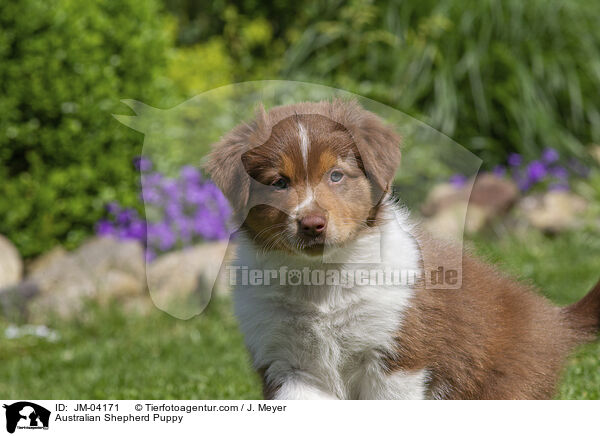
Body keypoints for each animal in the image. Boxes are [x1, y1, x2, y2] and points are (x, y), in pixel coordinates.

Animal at [206, 99, 600, 398]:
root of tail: (555, 320)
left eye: (336, 175)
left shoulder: (396, 360)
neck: (322, 279)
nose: (312, 224)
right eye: (279, 183)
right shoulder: (289, 365)